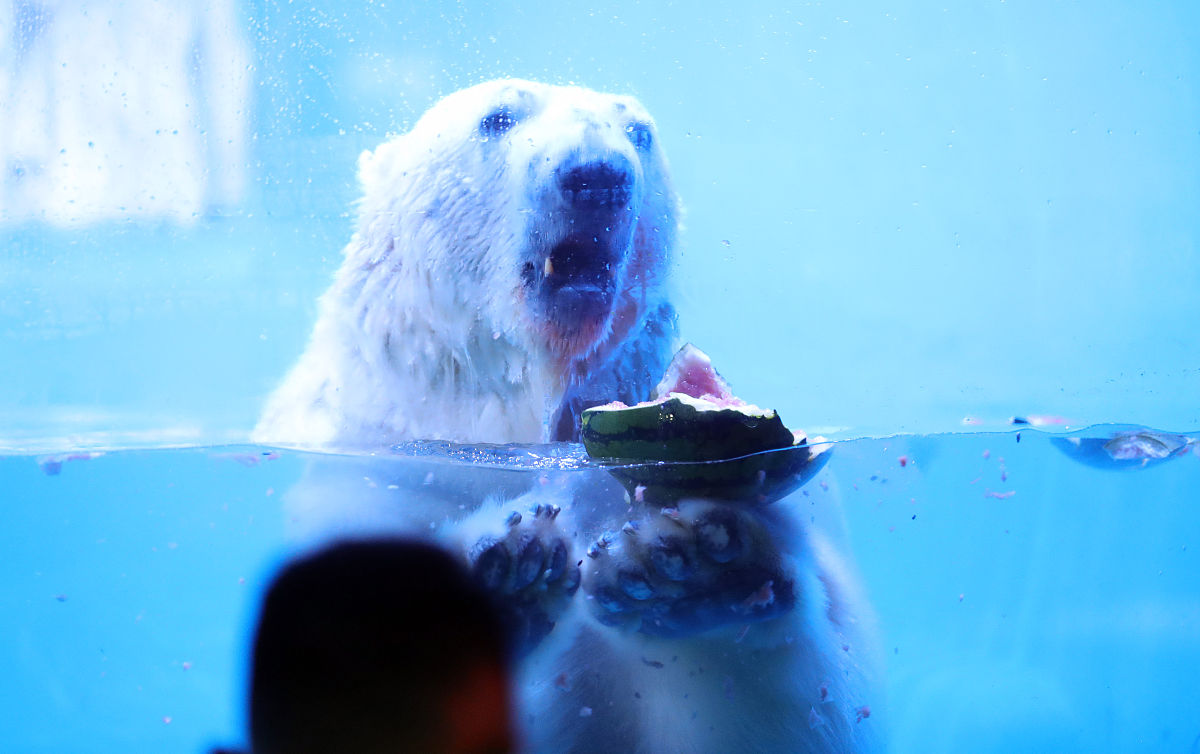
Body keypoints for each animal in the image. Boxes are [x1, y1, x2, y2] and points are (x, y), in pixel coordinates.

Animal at [254, 79, 881, 753]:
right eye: (497, 117)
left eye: (639, 131)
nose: (597, 175)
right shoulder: (368, 472)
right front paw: (504, 569)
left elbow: (809, 712)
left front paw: (689, 573)